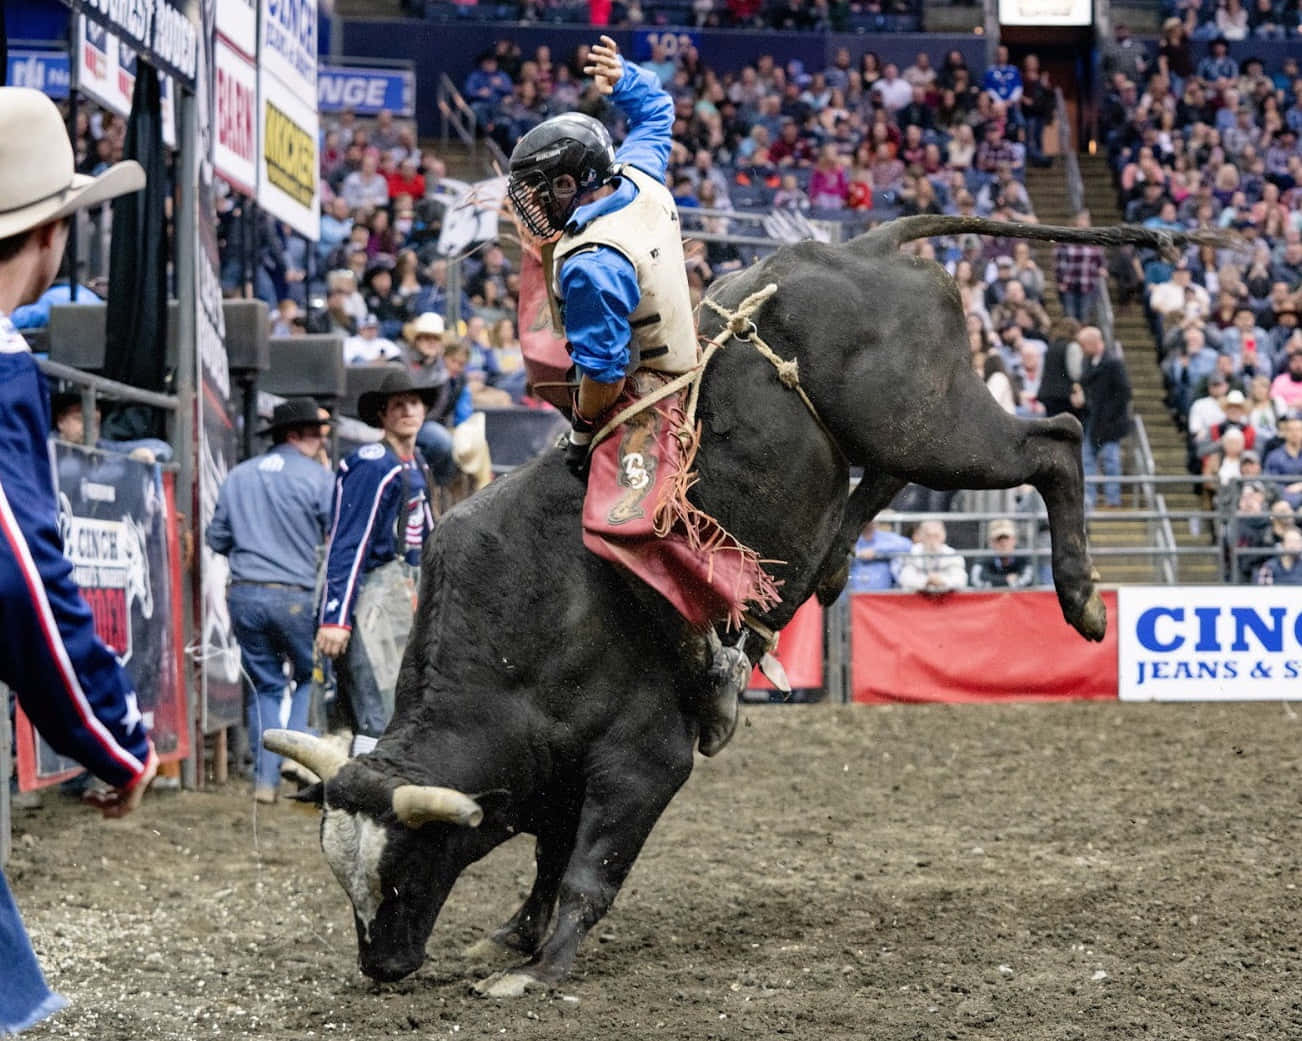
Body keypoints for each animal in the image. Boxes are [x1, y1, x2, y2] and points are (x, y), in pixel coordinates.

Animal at [266, 216, 1218, 994]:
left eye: (407, 864)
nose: (381, 964)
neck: (520, 648)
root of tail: (866, 249)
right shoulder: (557, 770)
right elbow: (546, 855)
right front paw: (511, 936)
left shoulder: (643, 759)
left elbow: (586, 866)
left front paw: (540, 967)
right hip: (900, 434)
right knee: (889, 479)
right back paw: (835, 563)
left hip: (935, 422)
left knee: (1054, 439)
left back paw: (1083, 599)